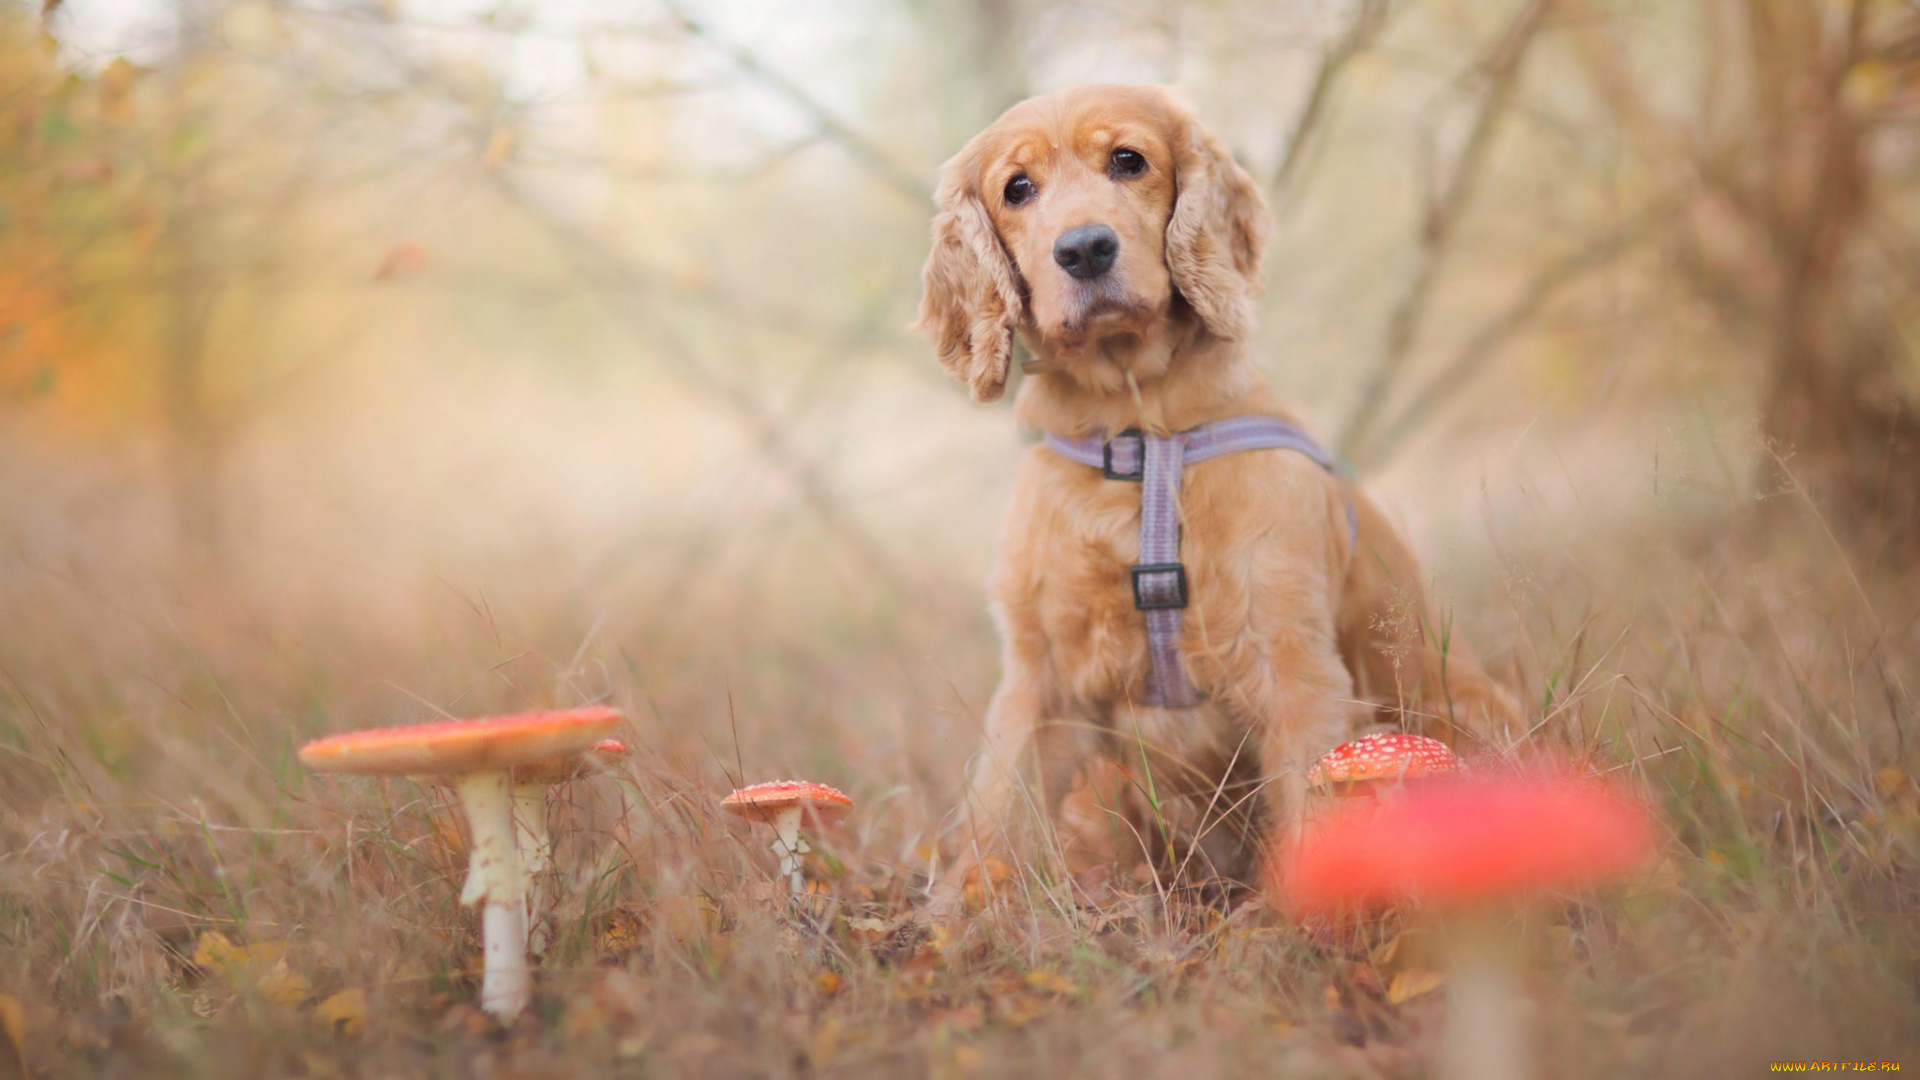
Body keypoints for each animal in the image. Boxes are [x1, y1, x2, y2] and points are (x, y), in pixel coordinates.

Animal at [913, 84, 1512, 899]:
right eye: (1018, 188)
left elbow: (1309, 811)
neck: (1138, 432)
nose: (1085, 249)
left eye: (1128, 160)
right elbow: (996, 811)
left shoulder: (1288, 660)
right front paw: (958, 915)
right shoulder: (1040, 677)